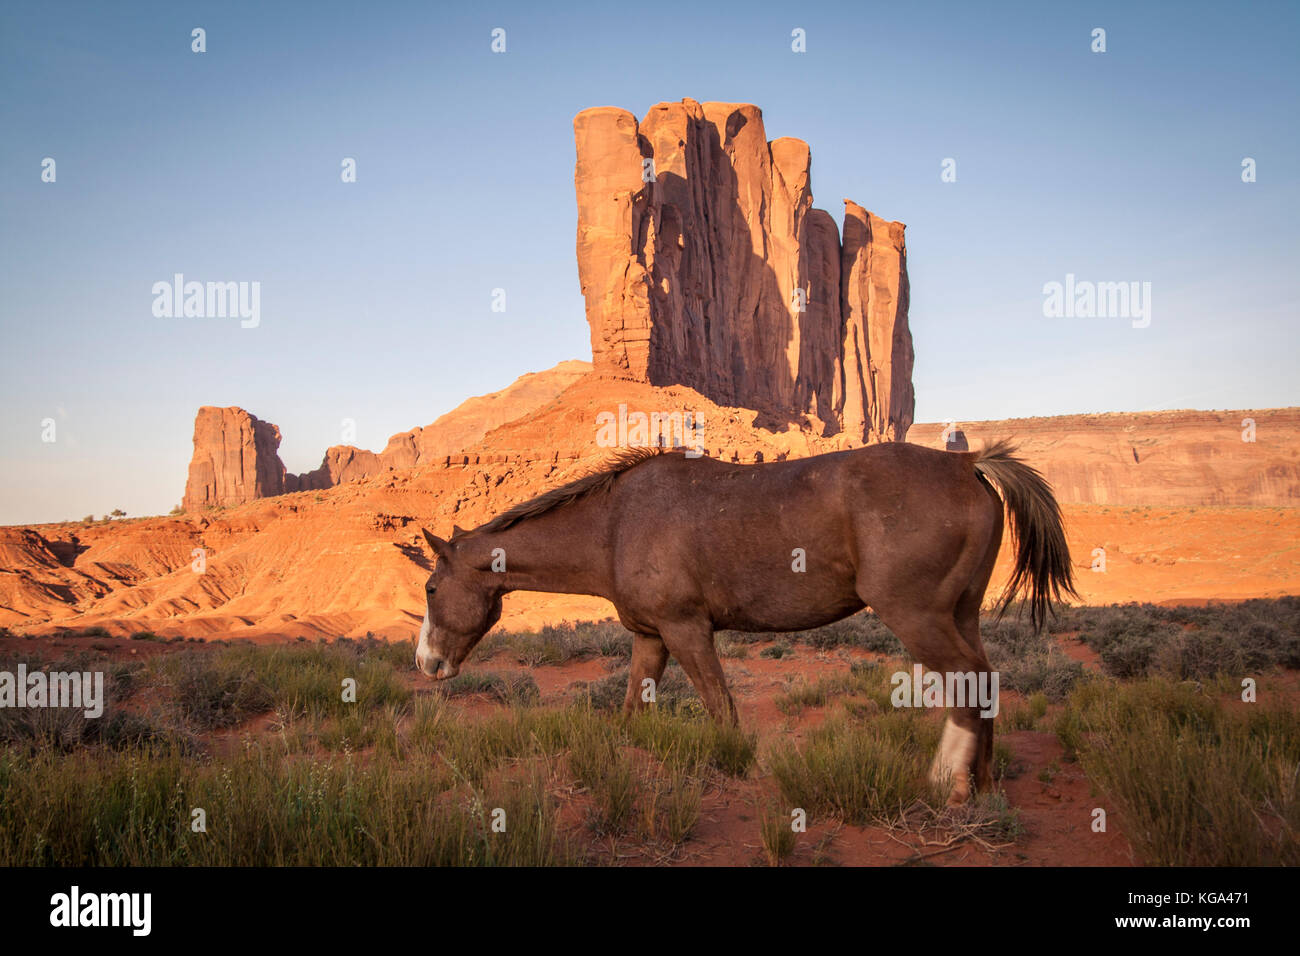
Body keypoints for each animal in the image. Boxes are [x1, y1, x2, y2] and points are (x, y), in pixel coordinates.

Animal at [416, 444, 1076, 806]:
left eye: (429, 588)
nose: (426, 664)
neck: (615, 523)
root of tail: (966, 464)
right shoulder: (651, 638)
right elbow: (631, 711)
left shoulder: (687, 631)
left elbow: (721, 712)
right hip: (961, 613)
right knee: (984, 681)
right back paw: (982, 785)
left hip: (917, 615)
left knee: (966, 683)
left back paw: (949, 784)